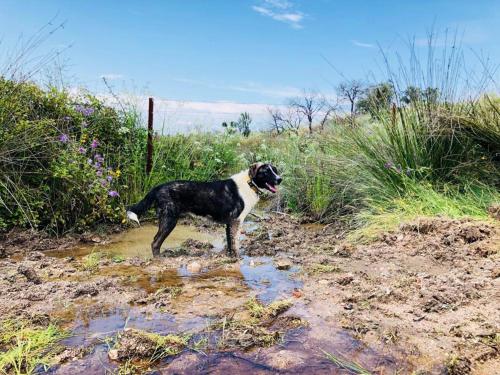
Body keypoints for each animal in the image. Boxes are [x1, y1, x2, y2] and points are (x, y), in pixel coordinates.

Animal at [125, 163, 282, 258]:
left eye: (275, 170)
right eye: (266, 172)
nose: (280, 179)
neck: (250, 184)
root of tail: (157, 187)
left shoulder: (229, 223)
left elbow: (230, 242)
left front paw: (230, 256)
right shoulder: (235, 221)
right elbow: (235, 242)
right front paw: (237, 258)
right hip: (169, 220)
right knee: (155, 242)